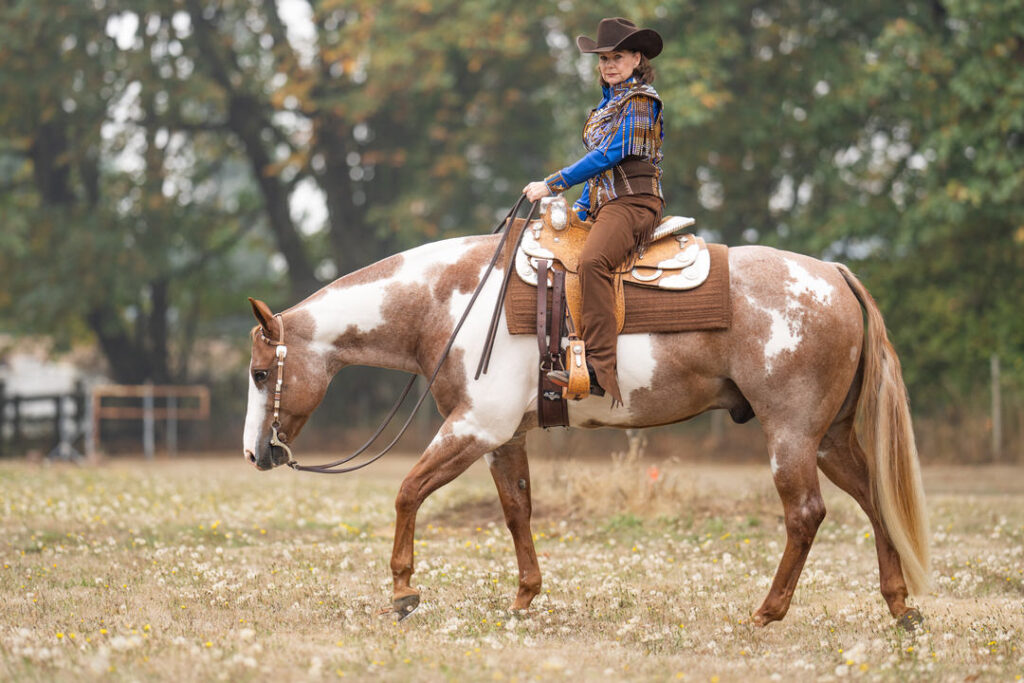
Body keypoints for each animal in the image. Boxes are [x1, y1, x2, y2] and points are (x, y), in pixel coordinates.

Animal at [243, 228, 933, 630]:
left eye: (259, 373)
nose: (255, 454)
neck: (452, 299)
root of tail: (835, 273)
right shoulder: (504, 436)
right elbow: (517, 509)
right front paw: (524, 596)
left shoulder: (475, 426)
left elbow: (408, 492)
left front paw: (403, 592)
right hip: (831, 438)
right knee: (877, 503)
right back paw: (900, 607)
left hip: (791, 434)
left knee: (805, 515)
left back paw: (767, 613)